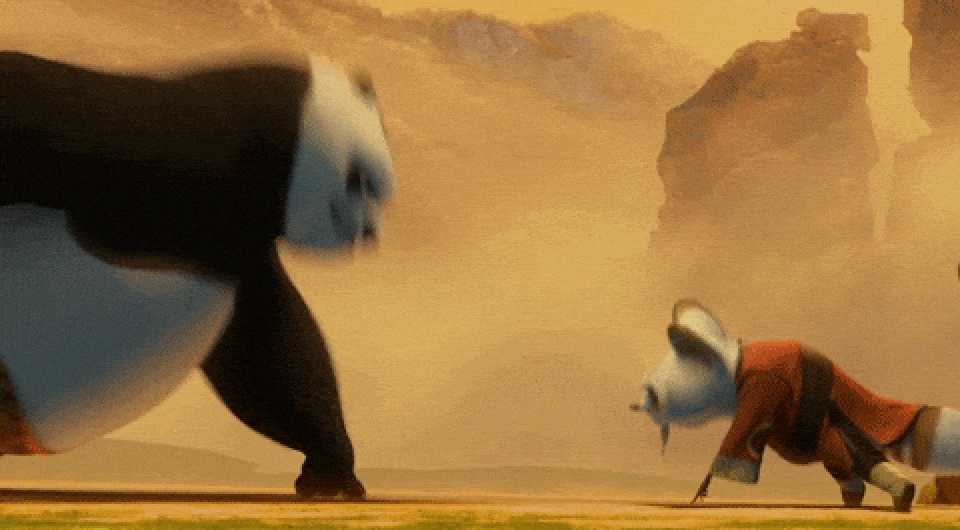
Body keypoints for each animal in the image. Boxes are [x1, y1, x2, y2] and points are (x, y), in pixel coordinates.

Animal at [0, 50, 396, 499]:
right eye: (359, 181)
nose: (368, 234)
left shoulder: (236, 250)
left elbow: (275, 358)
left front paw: (331, 474)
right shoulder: (133, 139)